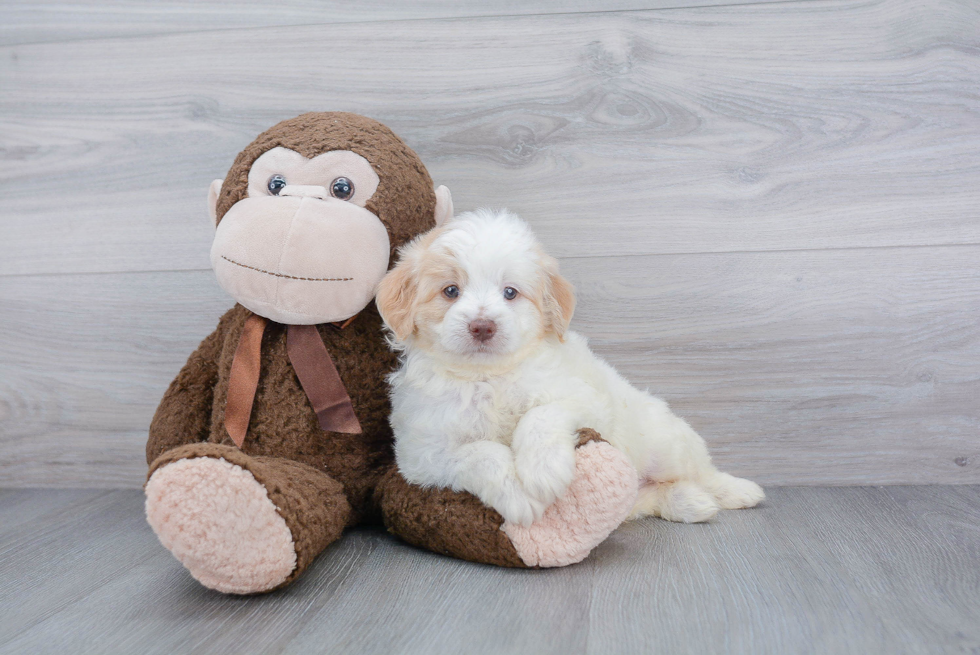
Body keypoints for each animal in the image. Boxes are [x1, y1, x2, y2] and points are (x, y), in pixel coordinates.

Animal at [376, 210, 764, 528]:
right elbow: (480, 455)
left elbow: (541, 415)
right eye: (450, 291)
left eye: (510, 293)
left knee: (701, 470)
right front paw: (518, 496)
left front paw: (541, 471)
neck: (488, 378)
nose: (482, 326)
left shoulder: (584, 399)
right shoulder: (424, 454)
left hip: (665, 444)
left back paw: (737, 491)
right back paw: (691, 502)